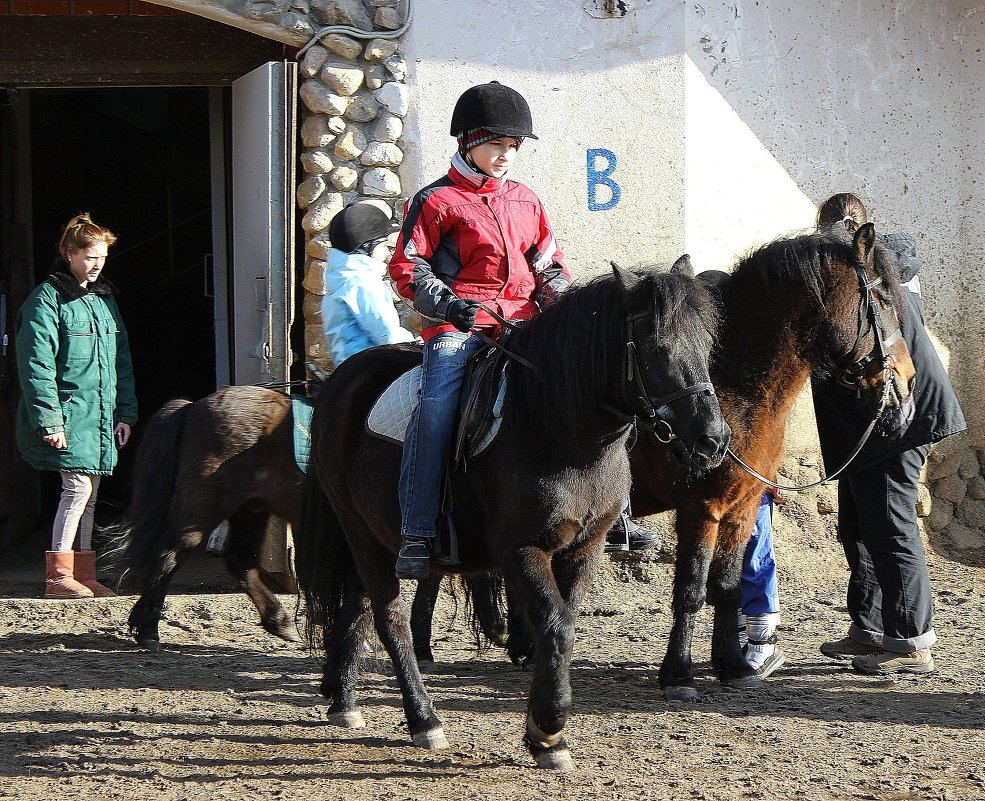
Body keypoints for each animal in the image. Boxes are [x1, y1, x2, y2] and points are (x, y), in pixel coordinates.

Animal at [296, 262, 728, 768]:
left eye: (706, 345)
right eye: (656, 347)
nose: (713, 440)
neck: (556, 427)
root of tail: (339, 382)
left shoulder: (586, 547)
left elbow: (561, 626)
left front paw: (544, 733)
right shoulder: (521, 549)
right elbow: (556, 626)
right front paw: (548, 727)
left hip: (371, 535)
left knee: (357, 607)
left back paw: (344, 700)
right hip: (361, 532)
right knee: (389, 619)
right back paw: (424, 720)